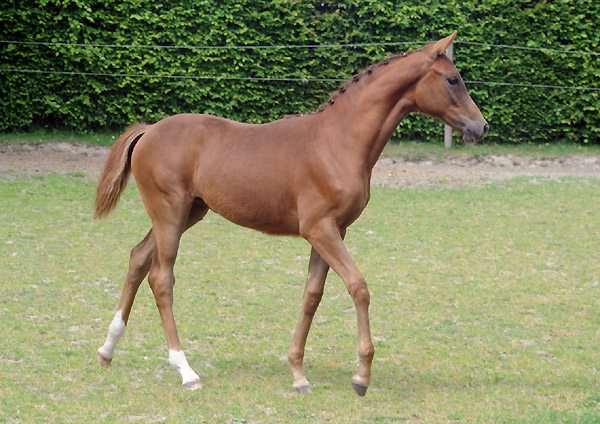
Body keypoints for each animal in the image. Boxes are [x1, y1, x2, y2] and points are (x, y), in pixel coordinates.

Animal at [94, 32, 488, 394]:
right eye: (453, 79)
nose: (481, 127)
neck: (338, 141)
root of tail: (148, 130)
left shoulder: (333, 231)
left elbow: (312, 295)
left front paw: (298, 373)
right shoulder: (320, 229)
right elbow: (358, 286)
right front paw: (361, 376)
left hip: (188, 213)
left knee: (138, 258)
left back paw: (107, 350)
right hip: (170, 214)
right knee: (161, 277)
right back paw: (185, 370)